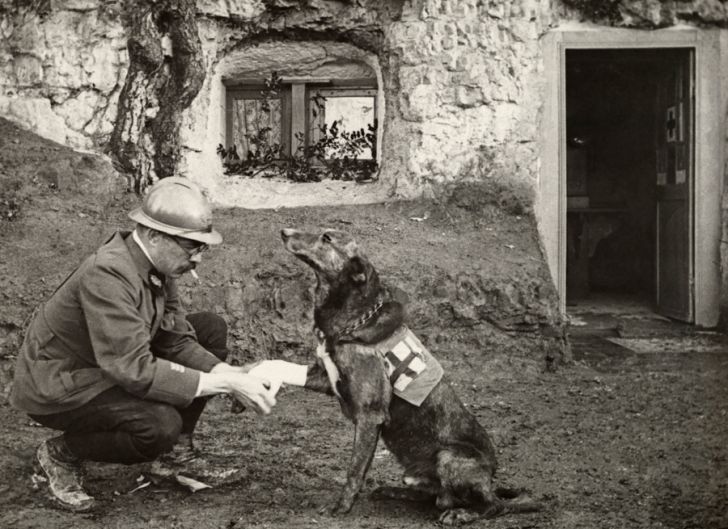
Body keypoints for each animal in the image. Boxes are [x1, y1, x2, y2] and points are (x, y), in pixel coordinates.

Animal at [278, 227, 540, 524]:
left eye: (327, 239)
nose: (284, 231)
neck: (352, 319)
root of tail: (491, 478)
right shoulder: (326, 378)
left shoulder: (370, 415)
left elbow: (355, 470)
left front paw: (341, 507)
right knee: (435, 497)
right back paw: (395, 491)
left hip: (449, 457)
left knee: (492, 506)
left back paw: (461, 514)